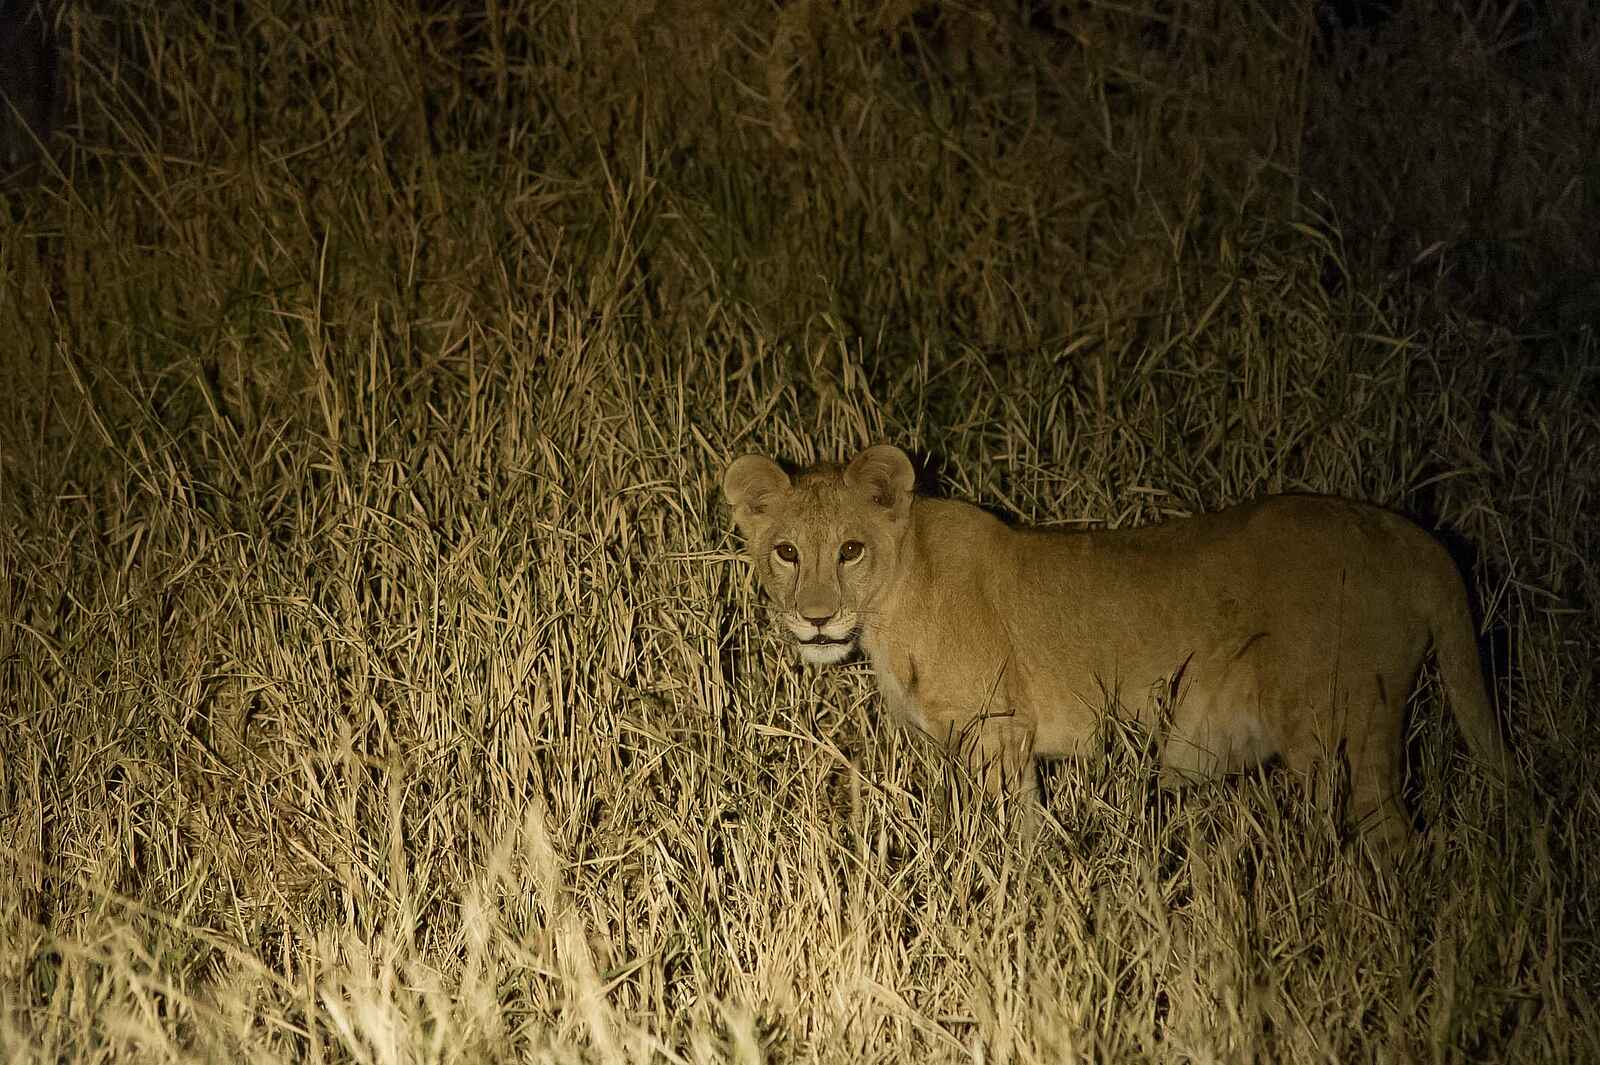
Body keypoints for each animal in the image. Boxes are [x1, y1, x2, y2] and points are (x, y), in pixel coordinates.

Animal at [722, 443, 1506, 853]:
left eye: (850, 550)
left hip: (1334, 725)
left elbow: (1014, 832)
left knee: (1384, 833)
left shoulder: (999, 731)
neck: (893, 598)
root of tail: (1412, 536)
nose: (816, 619)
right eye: (787, 551)